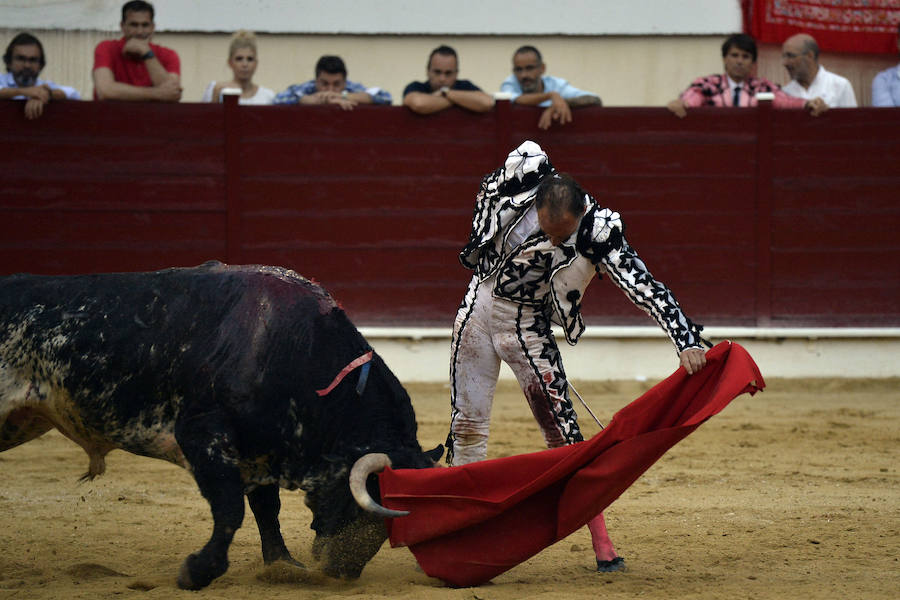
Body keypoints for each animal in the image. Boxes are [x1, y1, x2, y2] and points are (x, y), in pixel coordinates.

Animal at [0, 264, 440, 592]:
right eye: (363, 501)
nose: (341, 571)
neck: (289, 350)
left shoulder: (263, 447)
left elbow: (266, 509)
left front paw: (282, 565)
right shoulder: (203, 437)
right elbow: (230, 509)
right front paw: (197, 571)